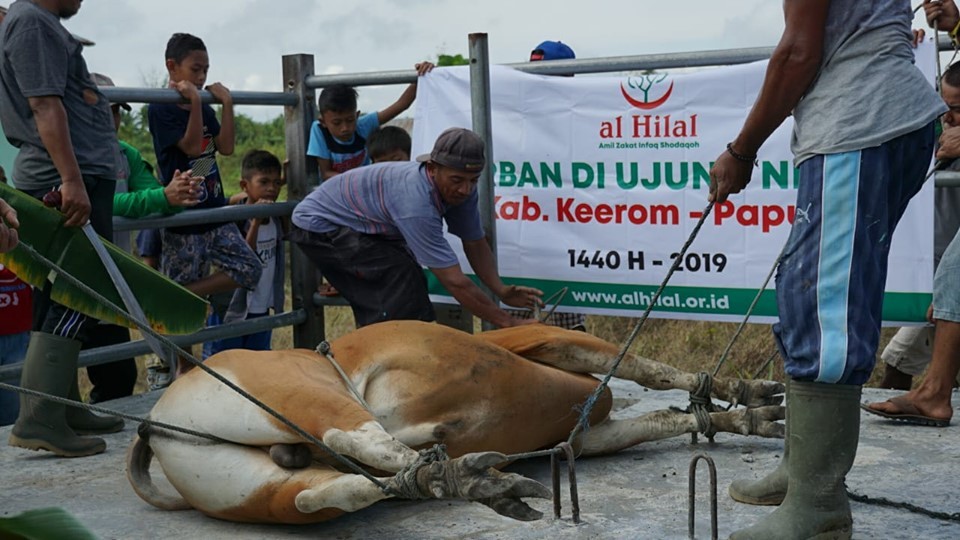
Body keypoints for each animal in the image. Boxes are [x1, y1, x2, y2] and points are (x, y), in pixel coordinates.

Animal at [127, 320, 784, 524]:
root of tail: (155, 423)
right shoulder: (539, 338)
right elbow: (647, 370)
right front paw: (744, 398)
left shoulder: (581, 435)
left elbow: (658, 417)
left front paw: (743, 413)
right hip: (304, 392)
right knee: (360, 438)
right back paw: (471, 477)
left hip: (260, 489)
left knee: (338, 489)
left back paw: (457, 480)